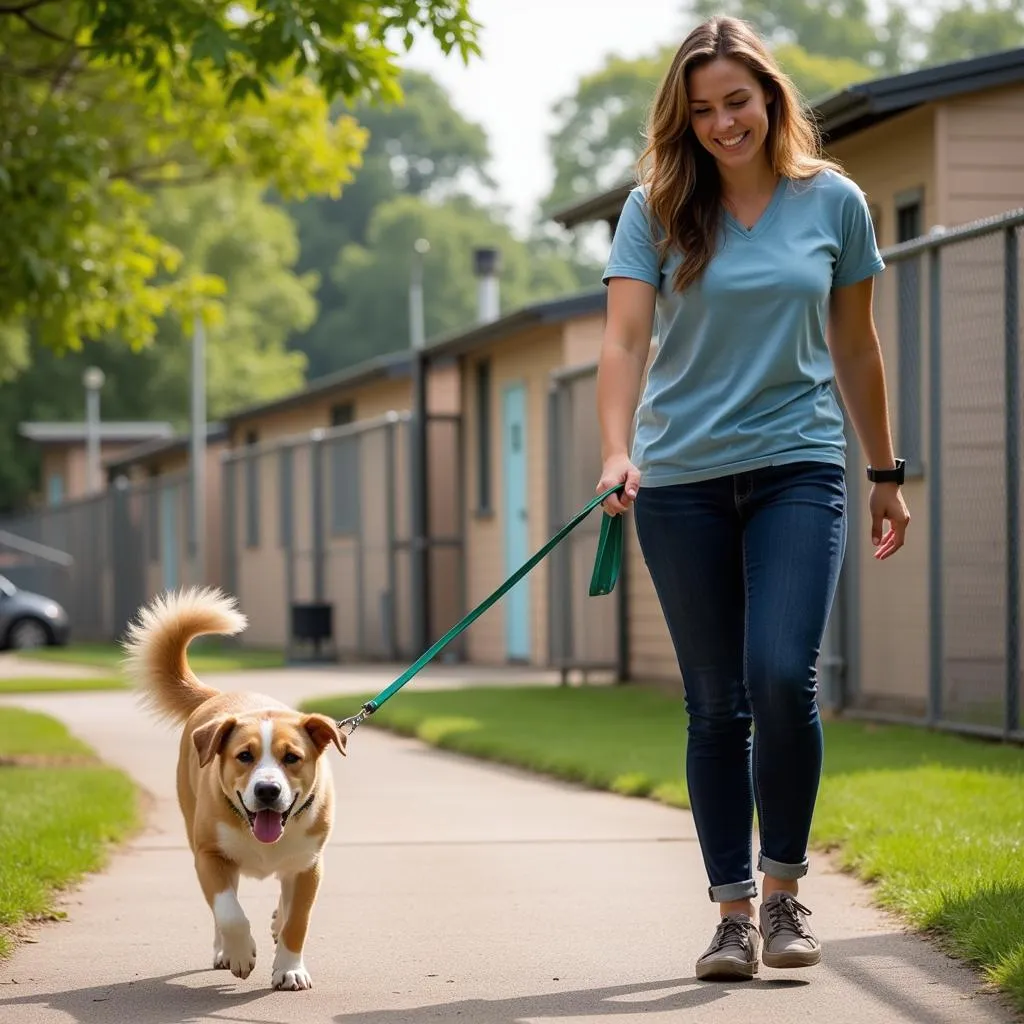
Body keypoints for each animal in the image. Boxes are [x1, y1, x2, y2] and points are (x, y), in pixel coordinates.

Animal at [121, 589, 346, 987]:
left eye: (292, 757)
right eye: (244, 755)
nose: (268, 791)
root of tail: (220, 696)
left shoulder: (309, 864)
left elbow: (298, 920)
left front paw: (290, 969)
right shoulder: (210, 855)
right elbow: (228, 911)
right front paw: (240, 953)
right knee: (222, 906)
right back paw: (224, 950)